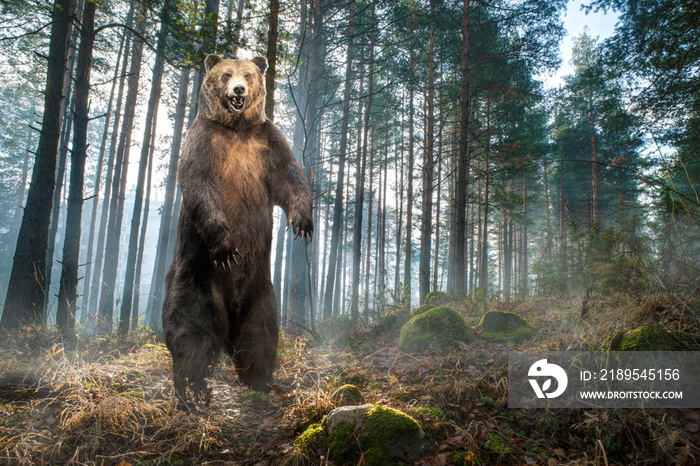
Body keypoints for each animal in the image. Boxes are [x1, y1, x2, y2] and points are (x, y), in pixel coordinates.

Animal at [163, 52, 314, 406]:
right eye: (226, 74)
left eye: (248, 74)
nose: (238, 91)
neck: (236, 128)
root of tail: (227, 327)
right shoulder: (204, 141)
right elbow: (200, 185)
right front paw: (227, 247)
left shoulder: (267, 141)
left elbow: (290, 175)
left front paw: (302, 223)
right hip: (196, 282)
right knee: (191, 337)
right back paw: (193, 393)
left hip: (261, 292)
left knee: (261, 336)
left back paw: (261, 382)